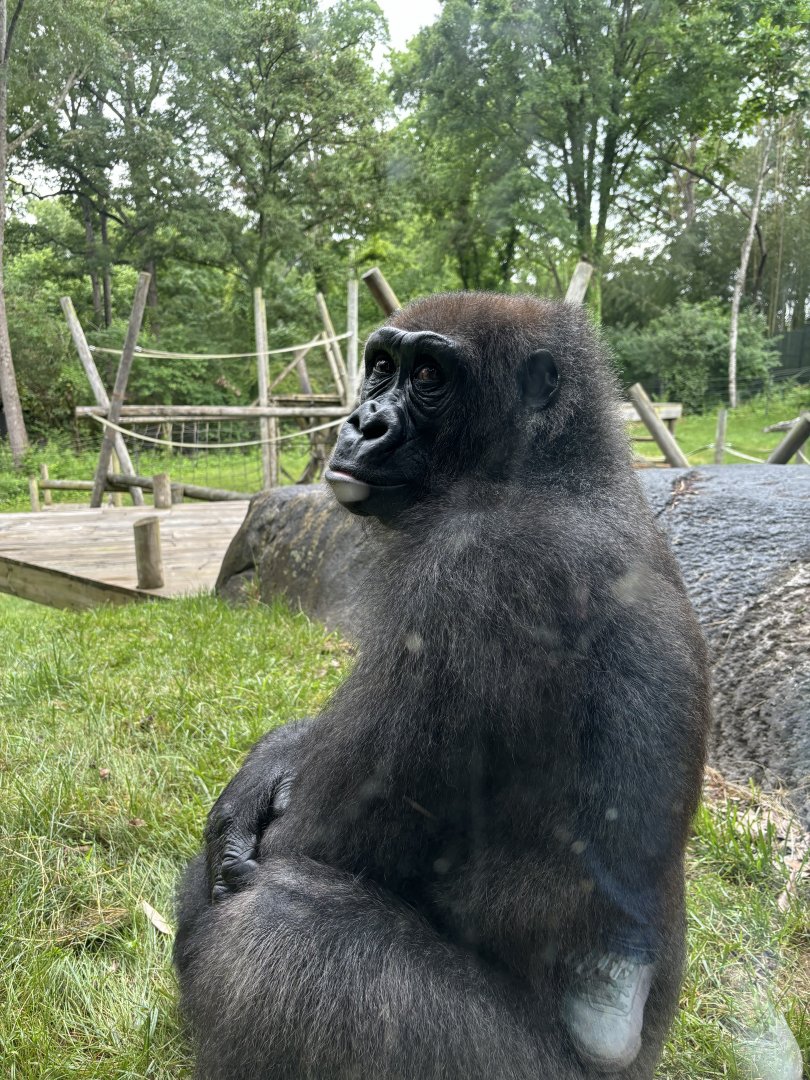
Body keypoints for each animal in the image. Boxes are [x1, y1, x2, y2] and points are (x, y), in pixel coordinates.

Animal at [175, 292, 711, 1079]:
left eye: (429, 376)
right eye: (380, 365)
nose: (363, 422)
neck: (546, 469)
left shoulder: (475, 572)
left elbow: (308, 843)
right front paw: (265, 766)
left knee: (280, 924)